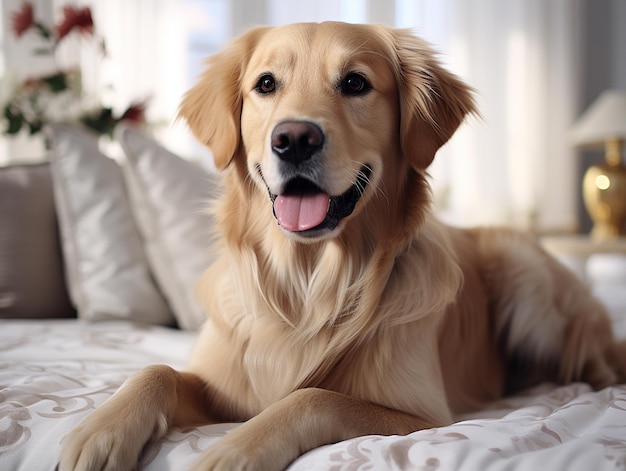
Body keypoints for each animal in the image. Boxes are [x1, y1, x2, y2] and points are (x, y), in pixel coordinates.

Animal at [58, 23, 624, 471]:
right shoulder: (223, 386)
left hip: (523, 269)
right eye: (266, 84)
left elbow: (313, 396)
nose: (294, 139)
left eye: (355, 83)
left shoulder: (423, 415)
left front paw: (234, 450)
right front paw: (100, 431)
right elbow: (157, 371)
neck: (308, 280)